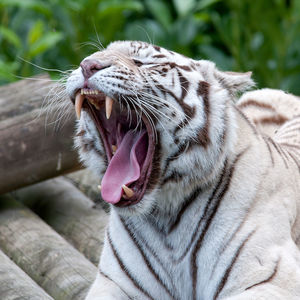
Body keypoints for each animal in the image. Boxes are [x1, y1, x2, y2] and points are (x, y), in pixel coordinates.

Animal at [65, 41, 300, 298]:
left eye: (142, 63)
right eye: (98, 54)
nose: (87, 65)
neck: (166, 218)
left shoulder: (271, 278)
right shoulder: (115, 282)